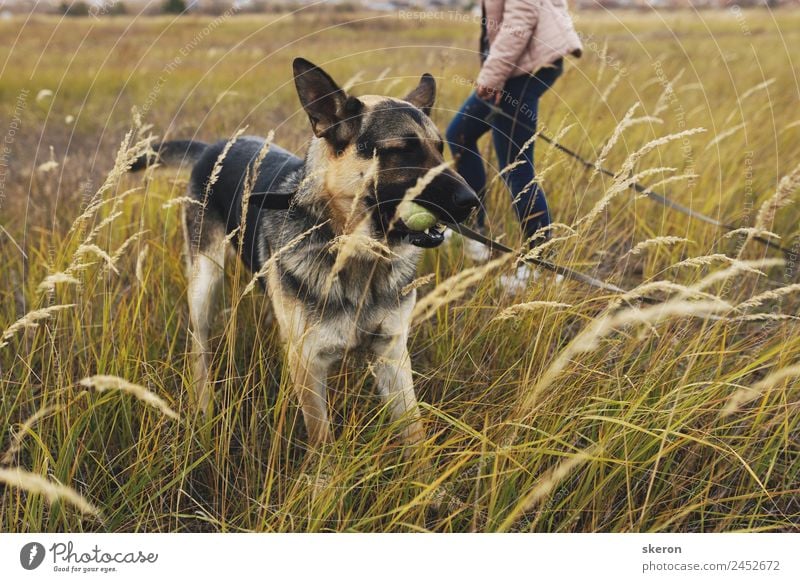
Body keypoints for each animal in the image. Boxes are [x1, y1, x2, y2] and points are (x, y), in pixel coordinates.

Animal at [134, 58, 478, 460]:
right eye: (402, 151)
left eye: (439, 148)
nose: (472, 202)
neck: (354, 254)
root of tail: (214, 147)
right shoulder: (309, 364)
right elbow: (323, 441)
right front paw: (325, 477)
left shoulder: (392, 354)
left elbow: (414, 432)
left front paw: (421, 474)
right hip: (205, 282)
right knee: (198, 347)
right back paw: (202, 407)